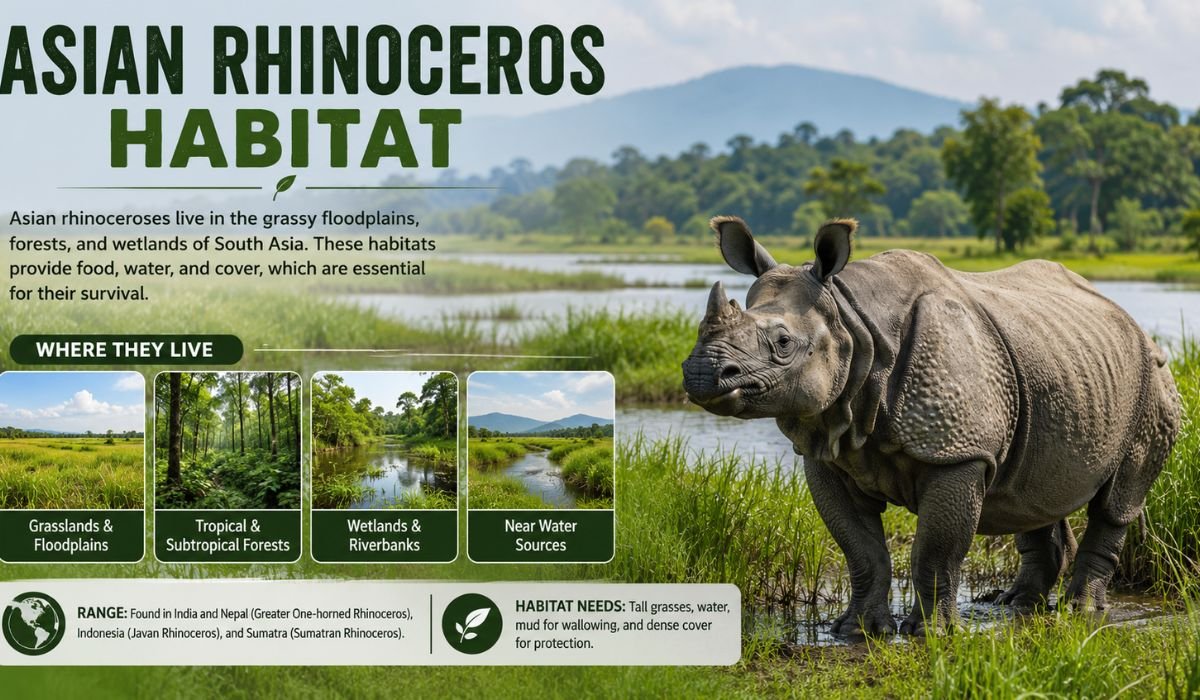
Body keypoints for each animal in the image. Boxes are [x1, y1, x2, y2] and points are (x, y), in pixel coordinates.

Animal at [682, 216, 1181, 636]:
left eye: (783, 343)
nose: (703, 373)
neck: (854, 323)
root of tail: (1130, 321)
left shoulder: (958, 453)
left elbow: (936, 550)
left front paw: (931, 634)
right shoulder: (828, 455)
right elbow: (861, 550)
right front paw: (856, 631)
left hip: (1152, 381)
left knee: (1117, 501)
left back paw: (1082, 612)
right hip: (1060, 362)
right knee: (1029, 489)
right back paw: (1017, 606)